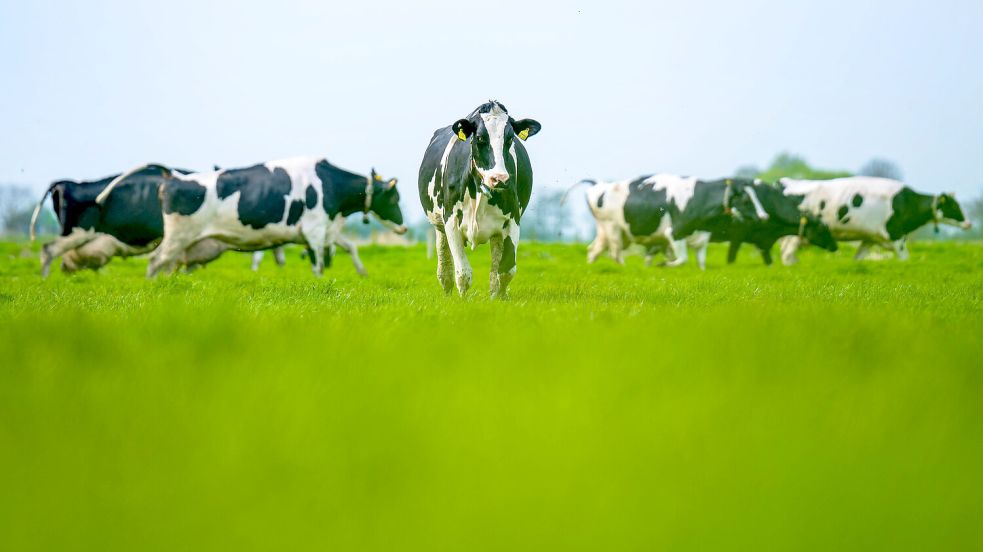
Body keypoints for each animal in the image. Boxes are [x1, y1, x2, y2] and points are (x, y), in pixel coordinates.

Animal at [94, 156, 406, 278]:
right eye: (395, 198)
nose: (403, 227)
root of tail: (175, 176)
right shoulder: (316, 231)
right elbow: (318, 266)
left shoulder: (324, 232)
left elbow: (345, 249)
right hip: (177, 235)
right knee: (156, 261)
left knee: (167, 264)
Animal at [416, 100, 540, 298]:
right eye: (480, 138)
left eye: (510, 139)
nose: (500, 178)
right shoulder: (451, 221)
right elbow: (463, 274)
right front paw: (463, 302)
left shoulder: (513, 219)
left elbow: (505, 271)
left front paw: (499, 299)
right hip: (439, 225)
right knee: (445, 270)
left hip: (498, 233)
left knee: (495, 267)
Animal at [580, 172, 772, 268]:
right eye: (746, 200)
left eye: (757, 196)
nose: (764, 216)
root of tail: (599, 185)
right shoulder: (674, 233)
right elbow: (682, 259)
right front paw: (663, 264)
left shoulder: (701, 237)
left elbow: (701, 263)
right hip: (612, 229)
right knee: (614, 253)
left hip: (612, 233)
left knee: (593, 250)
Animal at [708, 181, 836, 266]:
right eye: (821, 229)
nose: (835, 246)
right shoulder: (737, 235)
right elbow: (731, 258)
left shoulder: (763, 243)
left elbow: (769, 262)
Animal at [780, 177, 972, 264]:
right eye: (954, 206)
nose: (969, 223)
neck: (906, 202)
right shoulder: (897, 236)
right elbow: (905, 259)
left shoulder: (870, 239)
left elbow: (858, 259)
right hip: (794, 235)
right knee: (787, 255)